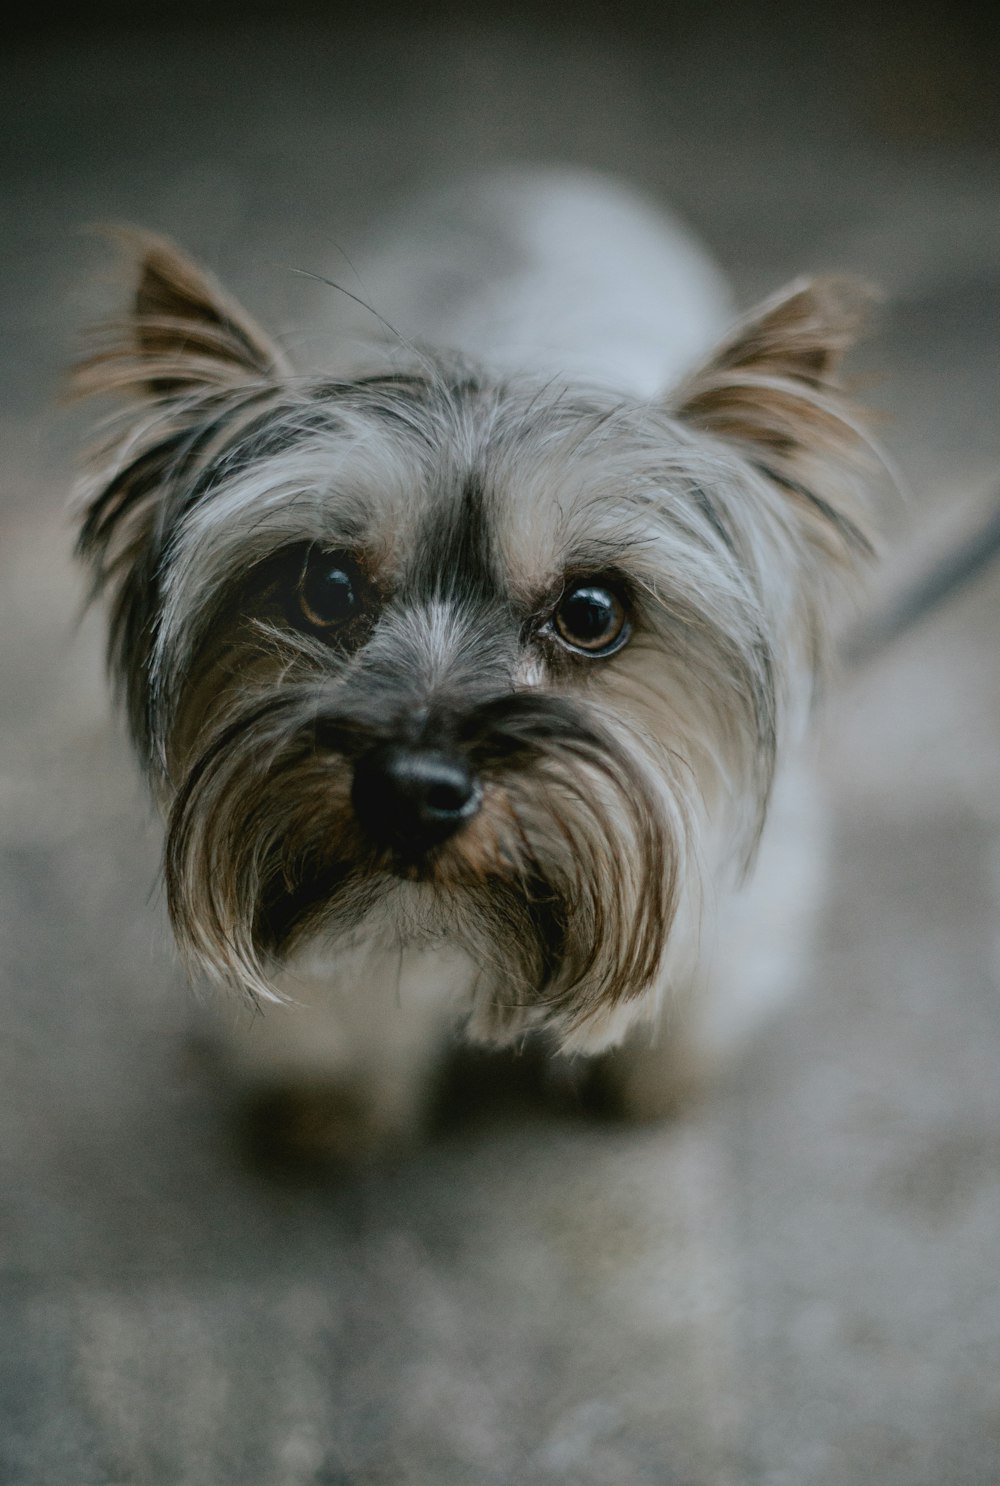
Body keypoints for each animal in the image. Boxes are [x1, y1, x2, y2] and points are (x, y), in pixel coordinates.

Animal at [74, 168, 879, 1153]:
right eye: (325, 587)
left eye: (591, 613)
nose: (413, 790)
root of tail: (535, 178)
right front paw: (336, 1097)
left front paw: (658, 1071)